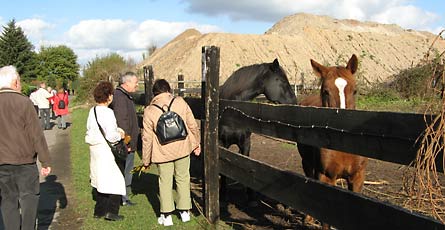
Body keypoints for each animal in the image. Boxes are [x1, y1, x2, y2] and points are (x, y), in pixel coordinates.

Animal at [218, 58, 294, 206]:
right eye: (282, 80)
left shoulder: (246, 143)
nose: (295, 101)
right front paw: (223, 194)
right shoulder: (222, 143)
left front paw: (251, 197)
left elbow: (247, 165)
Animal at [296, 53, 366, 228]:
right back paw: (308, 217)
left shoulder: (357, 177)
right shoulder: (327, 177)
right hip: (307, 163)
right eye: (326, 91)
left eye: (355, 91)